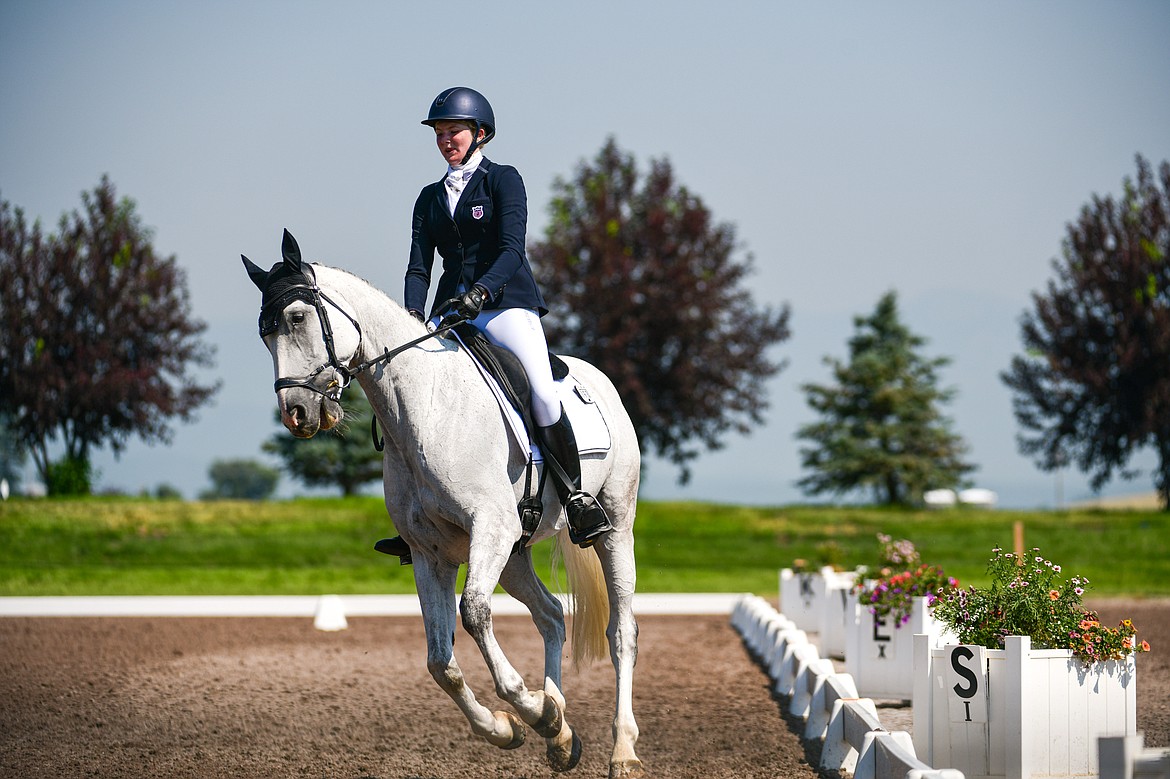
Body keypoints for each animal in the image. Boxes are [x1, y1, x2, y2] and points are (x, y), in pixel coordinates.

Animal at [242, 230, 645, 776]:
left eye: (298, 318)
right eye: (264, 334)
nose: (298, 413)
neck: (422, 408)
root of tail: (598, 378)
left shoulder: (489, 529)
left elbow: (473, 614)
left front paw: (528, 709)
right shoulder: (431, 553)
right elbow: (440, 662)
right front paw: (513, 726)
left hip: (612, 527)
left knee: (621, 631)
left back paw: (622, 749)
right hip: (514, 552)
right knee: (550, 615)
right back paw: (560, 730)